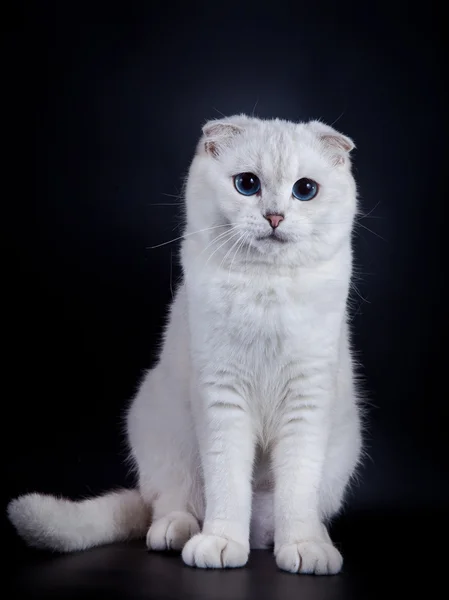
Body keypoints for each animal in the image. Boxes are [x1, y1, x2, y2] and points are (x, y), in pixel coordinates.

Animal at [7, 115, 364, 576]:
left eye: (305, 189)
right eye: (247, 184)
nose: (274, 216)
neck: (265, 290)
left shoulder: (306, 402)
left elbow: (296, 493)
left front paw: (303, 547)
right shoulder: (222, 397)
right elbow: (227, 485)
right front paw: (221, 543)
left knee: (280, 513)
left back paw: (299, 537)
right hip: (158, 430)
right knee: (172, 504)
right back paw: (178, 533)